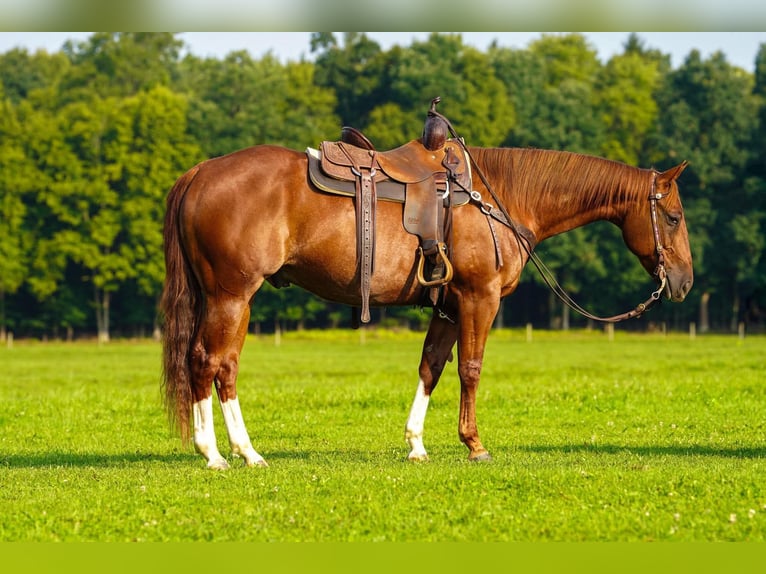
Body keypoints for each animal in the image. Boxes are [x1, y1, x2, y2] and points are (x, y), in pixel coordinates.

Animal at [160, 141, 693, 469]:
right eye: (672, 216)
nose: (684, 282)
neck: (499, 199)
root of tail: (199, 173)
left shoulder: (448, 306)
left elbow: (431, 367)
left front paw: (416, 444)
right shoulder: (479, 298)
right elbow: (471, 369)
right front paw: (474, 444)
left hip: (228, 299)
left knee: (217, 365)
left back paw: (235, 451)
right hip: (232, 296)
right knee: (210, 362)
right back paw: (222, 453)